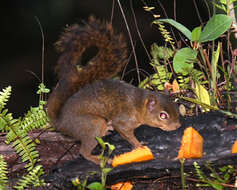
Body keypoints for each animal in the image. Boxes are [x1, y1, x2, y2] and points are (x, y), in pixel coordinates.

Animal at [46, 16, 181, 164]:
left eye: (176, 107)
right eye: (163, 115)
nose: (178, 126)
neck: (138, 104)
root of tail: (60, 122)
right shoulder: (123, 121)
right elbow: (126, 133)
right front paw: (139, 146)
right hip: (93, 124)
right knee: (83, 152)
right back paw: (99, 159)